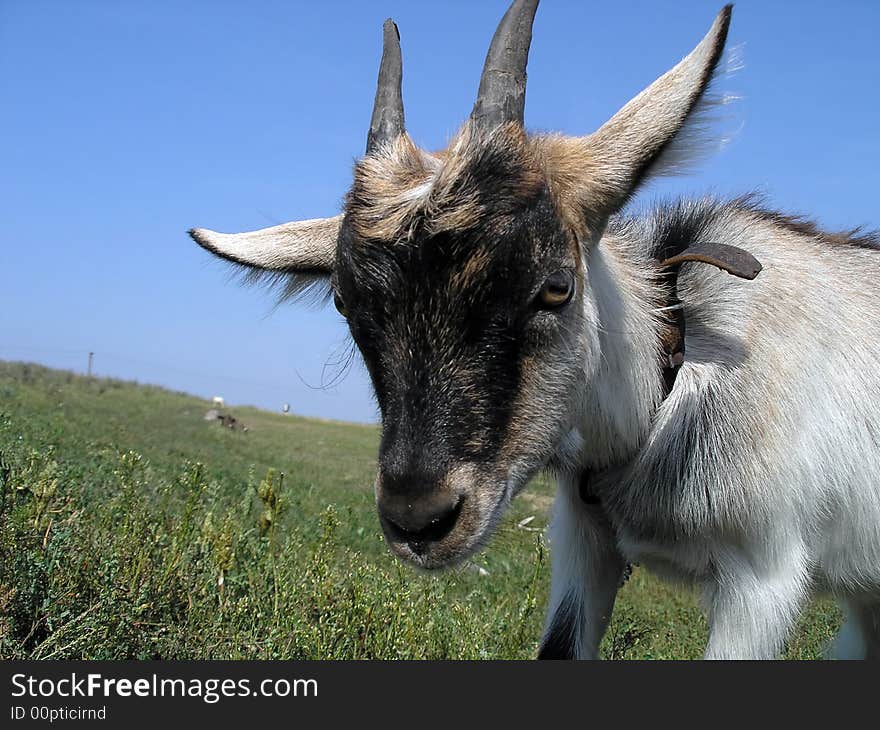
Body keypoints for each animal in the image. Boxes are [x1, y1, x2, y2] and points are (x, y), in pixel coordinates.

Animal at [191, 1, 880, 660]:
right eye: (343, 301)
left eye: (557, 286)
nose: (418, 521)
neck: (673, 371)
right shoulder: (584, 541)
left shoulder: (761, 579)